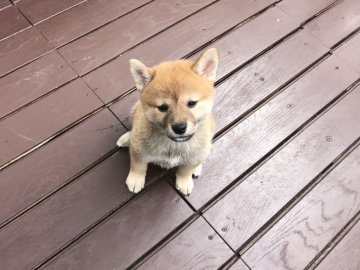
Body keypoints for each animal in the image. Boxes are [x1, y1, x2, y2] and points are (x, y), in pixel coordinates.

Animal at [116, 48, 218, 196]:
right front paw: (135, 180)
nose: (179, 128)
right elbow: (138, 166)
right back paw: (126, 138)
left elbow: (185, 170)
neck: (174, 144)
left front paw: (185, 181)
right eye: (163, 107)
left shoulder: (194, 157)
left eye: (192, 103)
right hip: (135, 111)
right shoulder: (138, 150)